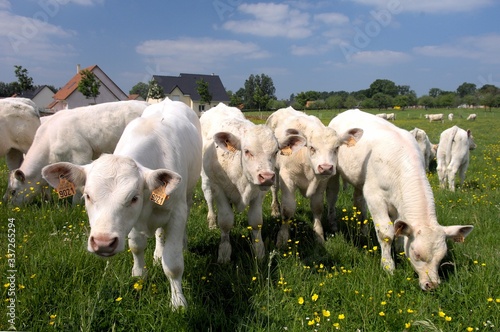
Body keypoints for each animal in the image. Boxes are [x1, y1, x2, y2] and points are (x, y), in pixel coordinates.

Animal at [41, 98, 201, 308]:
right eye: (88, 196)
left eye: (133, 197)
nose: (103, 243)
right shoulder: (132, 222)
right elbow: (136, 246)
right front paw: (139, 274)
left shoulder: (176, 213)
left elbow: (173, 264)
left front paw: (178, 302)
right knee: (159, 234)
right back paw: (157, 253)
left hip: (188, 196)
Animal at [199, 102, 304, 264]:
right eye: (247, 151)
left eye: (275, 152)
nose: (267, 177)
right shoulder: (219, 190)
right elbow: (225, 221)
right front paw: (224, 253)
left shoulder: (259, 193)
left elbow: (256, 221)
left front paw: (259, 252)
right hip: (206, 179)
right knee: (209, 198)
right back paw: (211, 222)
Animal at [266, 107, 364, 246]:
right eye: (312, 147)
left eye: (336, 147)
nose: (326, 167)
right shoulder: (287, 178)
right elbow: (287, 210)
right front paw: (282, 238)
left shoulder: (322, 182)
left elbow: (317, 207)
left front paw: (319, 236)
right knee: (274, 189)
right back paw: (275, 210)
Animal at [326, 109, 474, 290]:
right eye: (417, 254)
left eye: (441, 257)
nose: (431, 285)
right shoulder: (375, 197)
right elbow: (386, 233)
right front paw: (388, 266)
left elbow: (400, 230)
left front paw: (400, 253)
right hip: (334, 173)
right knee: (332, 196)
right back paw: (333, 225)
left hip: (359, 181)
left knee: (359, 202)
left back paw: (363, 230)